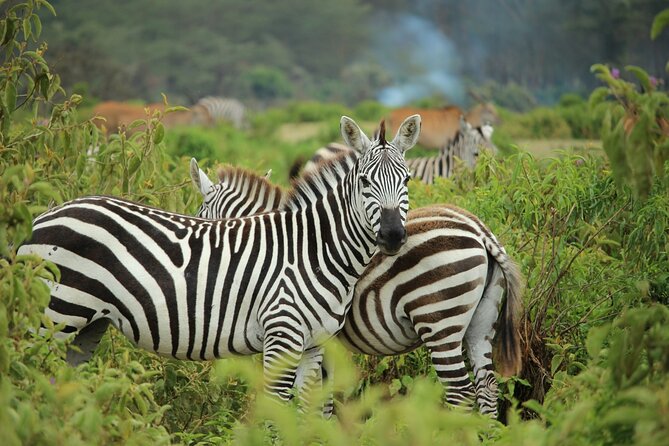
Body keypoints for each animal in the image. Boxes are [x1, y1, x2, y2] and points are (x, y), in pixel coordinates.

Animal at [18, 114, 420, 404]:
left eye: (407, 180)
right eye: (365, 182)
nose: (393, 236)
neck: (315, 250)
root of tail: (42, 218)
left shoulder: (314, 345)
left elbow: (307, 411)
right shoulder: (282, 335)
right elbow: (276, 410)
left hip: (85, 325)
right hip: (54, 315)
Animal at [188, 155, 520, 416]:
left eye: (201, 214)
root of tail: (479, 230)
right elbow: (324, 399)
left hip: (439, 320)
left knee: (460, 393)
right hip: (481, 322)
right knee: (488, 387)